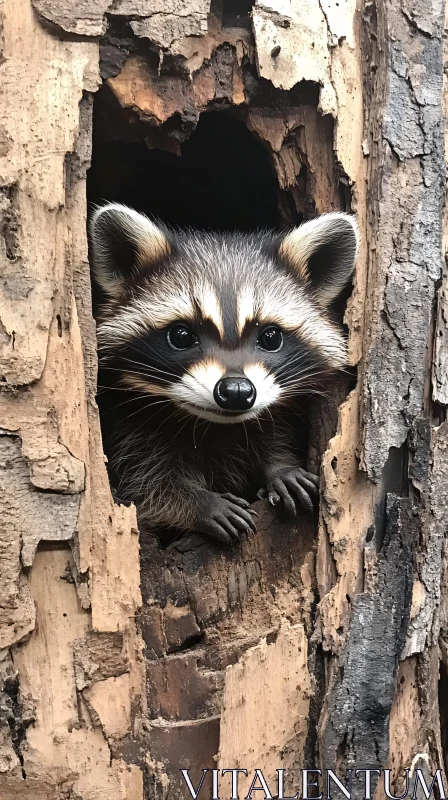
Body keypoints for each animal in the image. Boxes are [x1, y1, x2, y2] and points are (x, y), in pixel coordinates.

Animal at [90, 203, 356, 548]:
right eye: (181, 335)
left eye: (271, 337)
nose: (236, 391)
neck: (214, 425)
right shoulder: (125, 431)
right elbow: (142, 490)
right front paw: (198, 504)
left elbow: (274, 436)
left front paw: (280, 467)